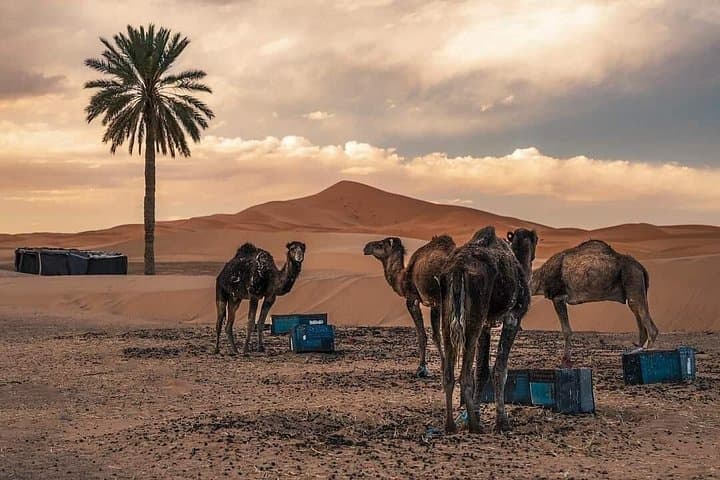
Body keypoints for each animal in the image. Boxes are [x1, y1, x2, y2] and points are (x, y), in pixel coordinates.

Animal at [363, 235, 456, 377]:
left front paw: (422, 369)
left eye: (380, 244)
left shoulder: (414, 299)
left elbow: (424, 336)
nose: (366, 247)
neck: (402, 277)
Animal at [440, 226, 538, 434]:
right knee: (465, 374)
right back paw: (475, 426)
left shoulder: (486, 325)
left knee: (449, 372)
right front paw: (502, 422)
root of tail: (458, 268)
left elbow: (482, 370)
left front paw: (476, 414)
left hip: (447, 316)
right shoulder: (512, 318)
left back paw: (451, 425)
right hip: (474, 317)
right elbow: (500, 369)